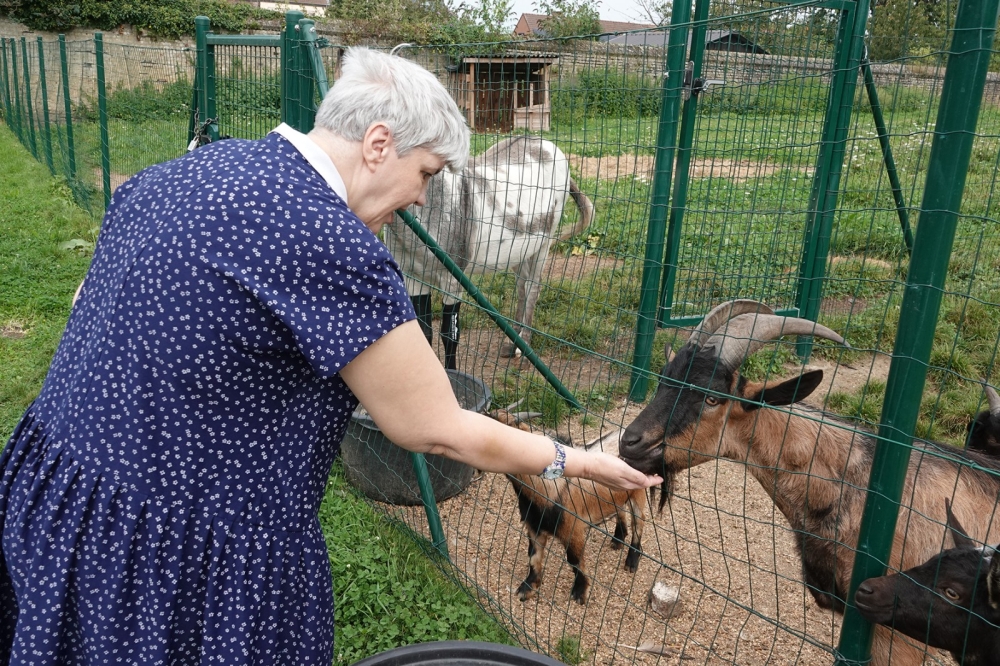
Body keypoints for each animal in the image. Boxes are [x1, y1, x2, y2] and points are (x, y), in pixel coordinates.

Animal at [492, 408, 648, 604]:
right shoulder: (534, 527)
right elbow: (533, 557)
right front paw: (527, 588)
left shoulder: (572, 530)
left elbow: (575, 560)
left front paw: (580, 592)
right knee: (620, 511)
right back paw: (617, 540)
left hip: (638, 493)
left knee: (639, 522)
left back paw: (631, 561)